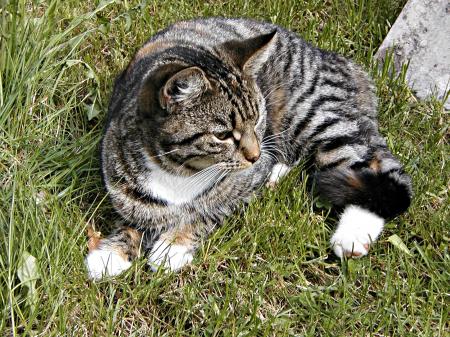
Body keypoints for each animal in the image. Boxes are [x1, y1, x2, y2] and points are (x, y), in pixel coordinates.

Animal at [84, 16, 412, 278]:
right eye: (223, 135)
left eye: (257, 119)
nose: (255, 156)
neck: (180, 173)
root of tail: (338, 60)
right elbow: (137, 217)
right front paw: (111, 253)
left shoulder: (238, 186)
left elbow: (207, 211)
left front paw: (172, 246)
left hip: (315, 115)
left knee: (375, 166)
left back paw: (355, 231)